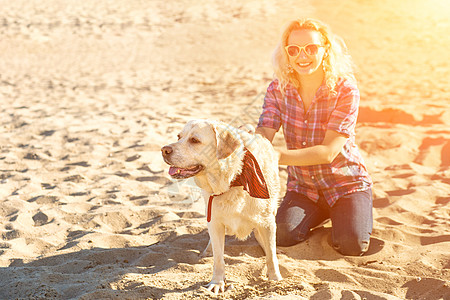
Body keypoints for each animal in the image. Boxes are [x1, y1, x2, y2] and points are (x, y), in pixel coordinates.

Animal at [161, 119, 282, 292]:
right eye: (179, 136)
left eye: (194, 140)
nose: (164, 150)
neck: (234, 179)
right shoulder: (215, 221)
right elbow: (219, 258)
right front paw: (217, 282)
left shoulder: (267, 222)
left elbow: (271, 256)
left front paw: (275, 279)